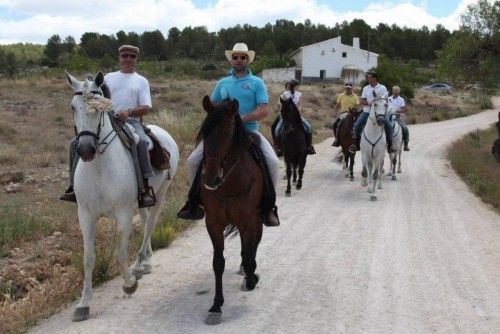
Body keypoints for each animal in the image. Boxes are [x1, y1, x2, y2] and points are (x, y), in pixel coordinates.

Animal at [64, 70, 178, 320]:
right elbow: (88, 258)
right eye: (73, 107)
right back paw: (145, 262)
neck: (99, 166)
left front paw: (129, 283)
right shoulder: (85, 215)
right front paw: (83, 304)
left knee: (150, 224)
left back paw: (139, 264)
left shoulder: (124, 213)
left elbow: (119, 254)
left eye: (98, 109)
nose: (85, 150)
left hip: (162, 193)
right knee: (145, 221)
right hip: (145, 199)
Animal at [197, 95, 264, 324]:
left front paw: (252, 279)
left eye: (228, 134)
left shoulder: (248, 220)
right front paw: (216, 306)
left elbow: (248, 253)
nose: (210, 178)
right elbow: (218, 262)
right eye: (204, 133)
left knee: (253, 244)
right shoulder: (213, 223)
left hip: (257, 219)